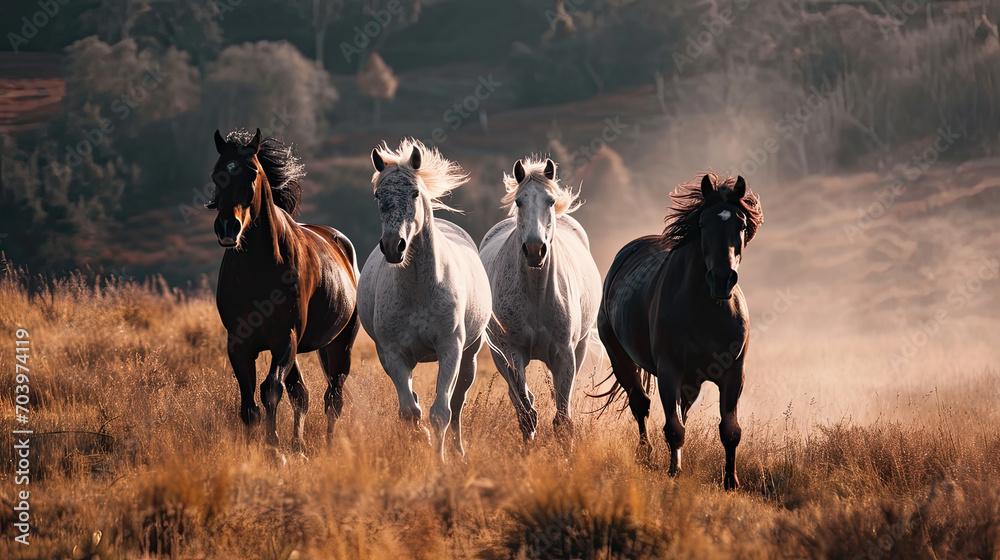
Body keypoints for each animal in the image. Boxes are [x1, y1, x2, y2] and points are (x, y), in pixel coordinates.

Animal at [207, 128, 360, 451]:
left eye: (252, 172)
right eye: (217, 174)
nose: (227, 228)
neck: (257, 272)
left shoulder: (284, 338)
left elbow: (270, 390)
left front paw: (274, 449)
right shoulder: (239, 343)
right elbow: (249, 403)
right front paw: (256, 448)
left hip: (340, 344)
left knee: (333, 398)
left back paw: (328, 446)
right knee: (302, 394)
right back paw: (299, 445)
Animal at [357, 139, 492, 461]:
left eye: (415, 193)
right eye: (378, 194)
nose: (393, 246)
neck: (418, 289)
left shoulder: (450, 347)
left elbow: (441, 411)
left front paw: (439, 460)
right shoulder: (393, 353)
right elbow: (409, 411)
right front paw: (419, 441)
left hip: (469, 354)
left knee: (457, 403)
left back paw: (458, 451)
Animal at [479, 157, 601, 442]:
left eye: (550, 201)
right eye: (519, 202)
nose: (535, 250)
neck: (536, 294)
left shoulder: (565, 353)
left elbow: (563, 418)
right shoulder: (512, 353)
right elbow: (526, 413)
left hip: (580, 346)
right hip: (498, 353)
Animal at [595, 172, 763, 490]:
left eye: (742, 225)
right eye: (703, 224)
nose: (722, 278)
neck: (707, 311)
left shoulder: (734, 373)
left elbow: (730, 430)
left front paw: (731, 482)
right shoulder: (669, 371)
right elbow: (674, 427)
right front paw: (674, 472)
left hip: (691, 380)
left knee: (681, 410)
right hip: (622, 359)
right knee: (641, 404)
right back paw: (646, 456)